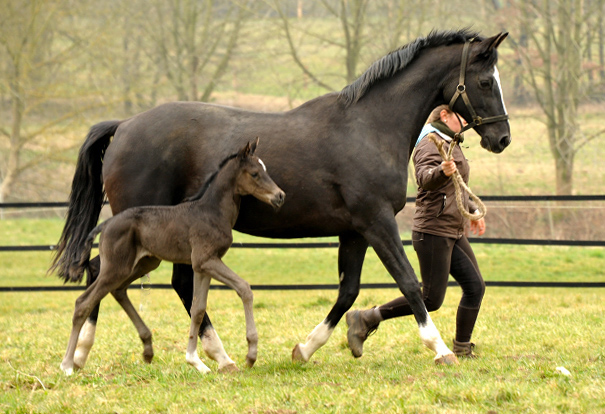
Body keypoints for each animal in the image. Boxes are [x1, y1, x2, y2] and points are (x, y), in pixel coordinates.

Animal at [59, 139, 284, 376]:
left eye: (265, 170)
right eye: (255, 173)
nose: (280, 196)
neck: (212, 211)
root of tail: (106, 223)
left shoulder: (202, 266)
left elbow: (198, 309)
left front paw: (196, 361)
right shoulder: (206, 260)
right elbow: (244, 288)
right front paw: (250, 355)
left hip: (144, 263)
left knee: (118, 290)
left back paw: (147, 348)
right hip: (116, 267)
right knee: (83, 302)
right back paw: (67, 364)